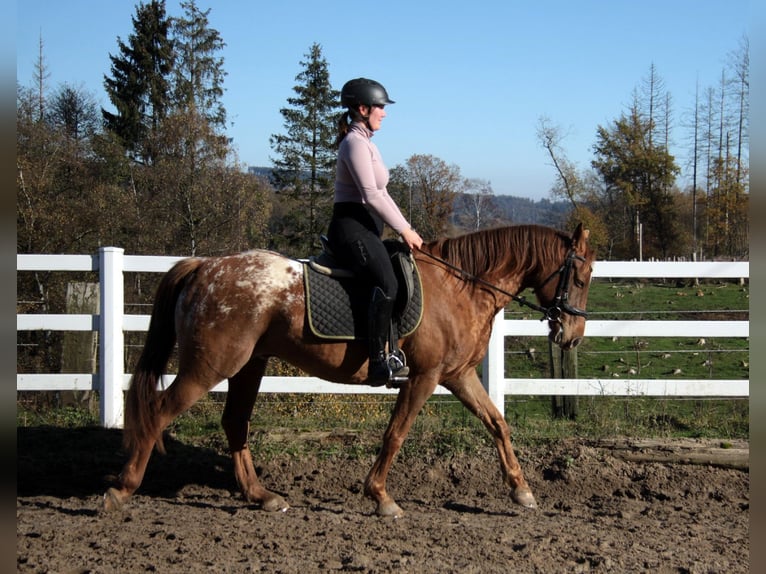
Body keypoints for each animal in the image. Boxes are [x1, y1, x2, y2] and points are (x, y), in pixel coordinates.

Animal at [105, 224, 596, 516]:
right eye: (582, 276)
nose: (572, 335)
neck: (460, 286)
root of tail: (204, 267)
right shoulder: (424, 377)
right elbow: (396, 433)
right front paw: (380, 496)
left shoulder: (457, 375)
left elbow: (497, 423)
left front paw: (522, 490)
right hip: (209, 366)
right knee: (159, 412)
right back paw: (123, 489)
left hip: (248, 366)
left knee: (234, 423)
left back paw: (261, 496)